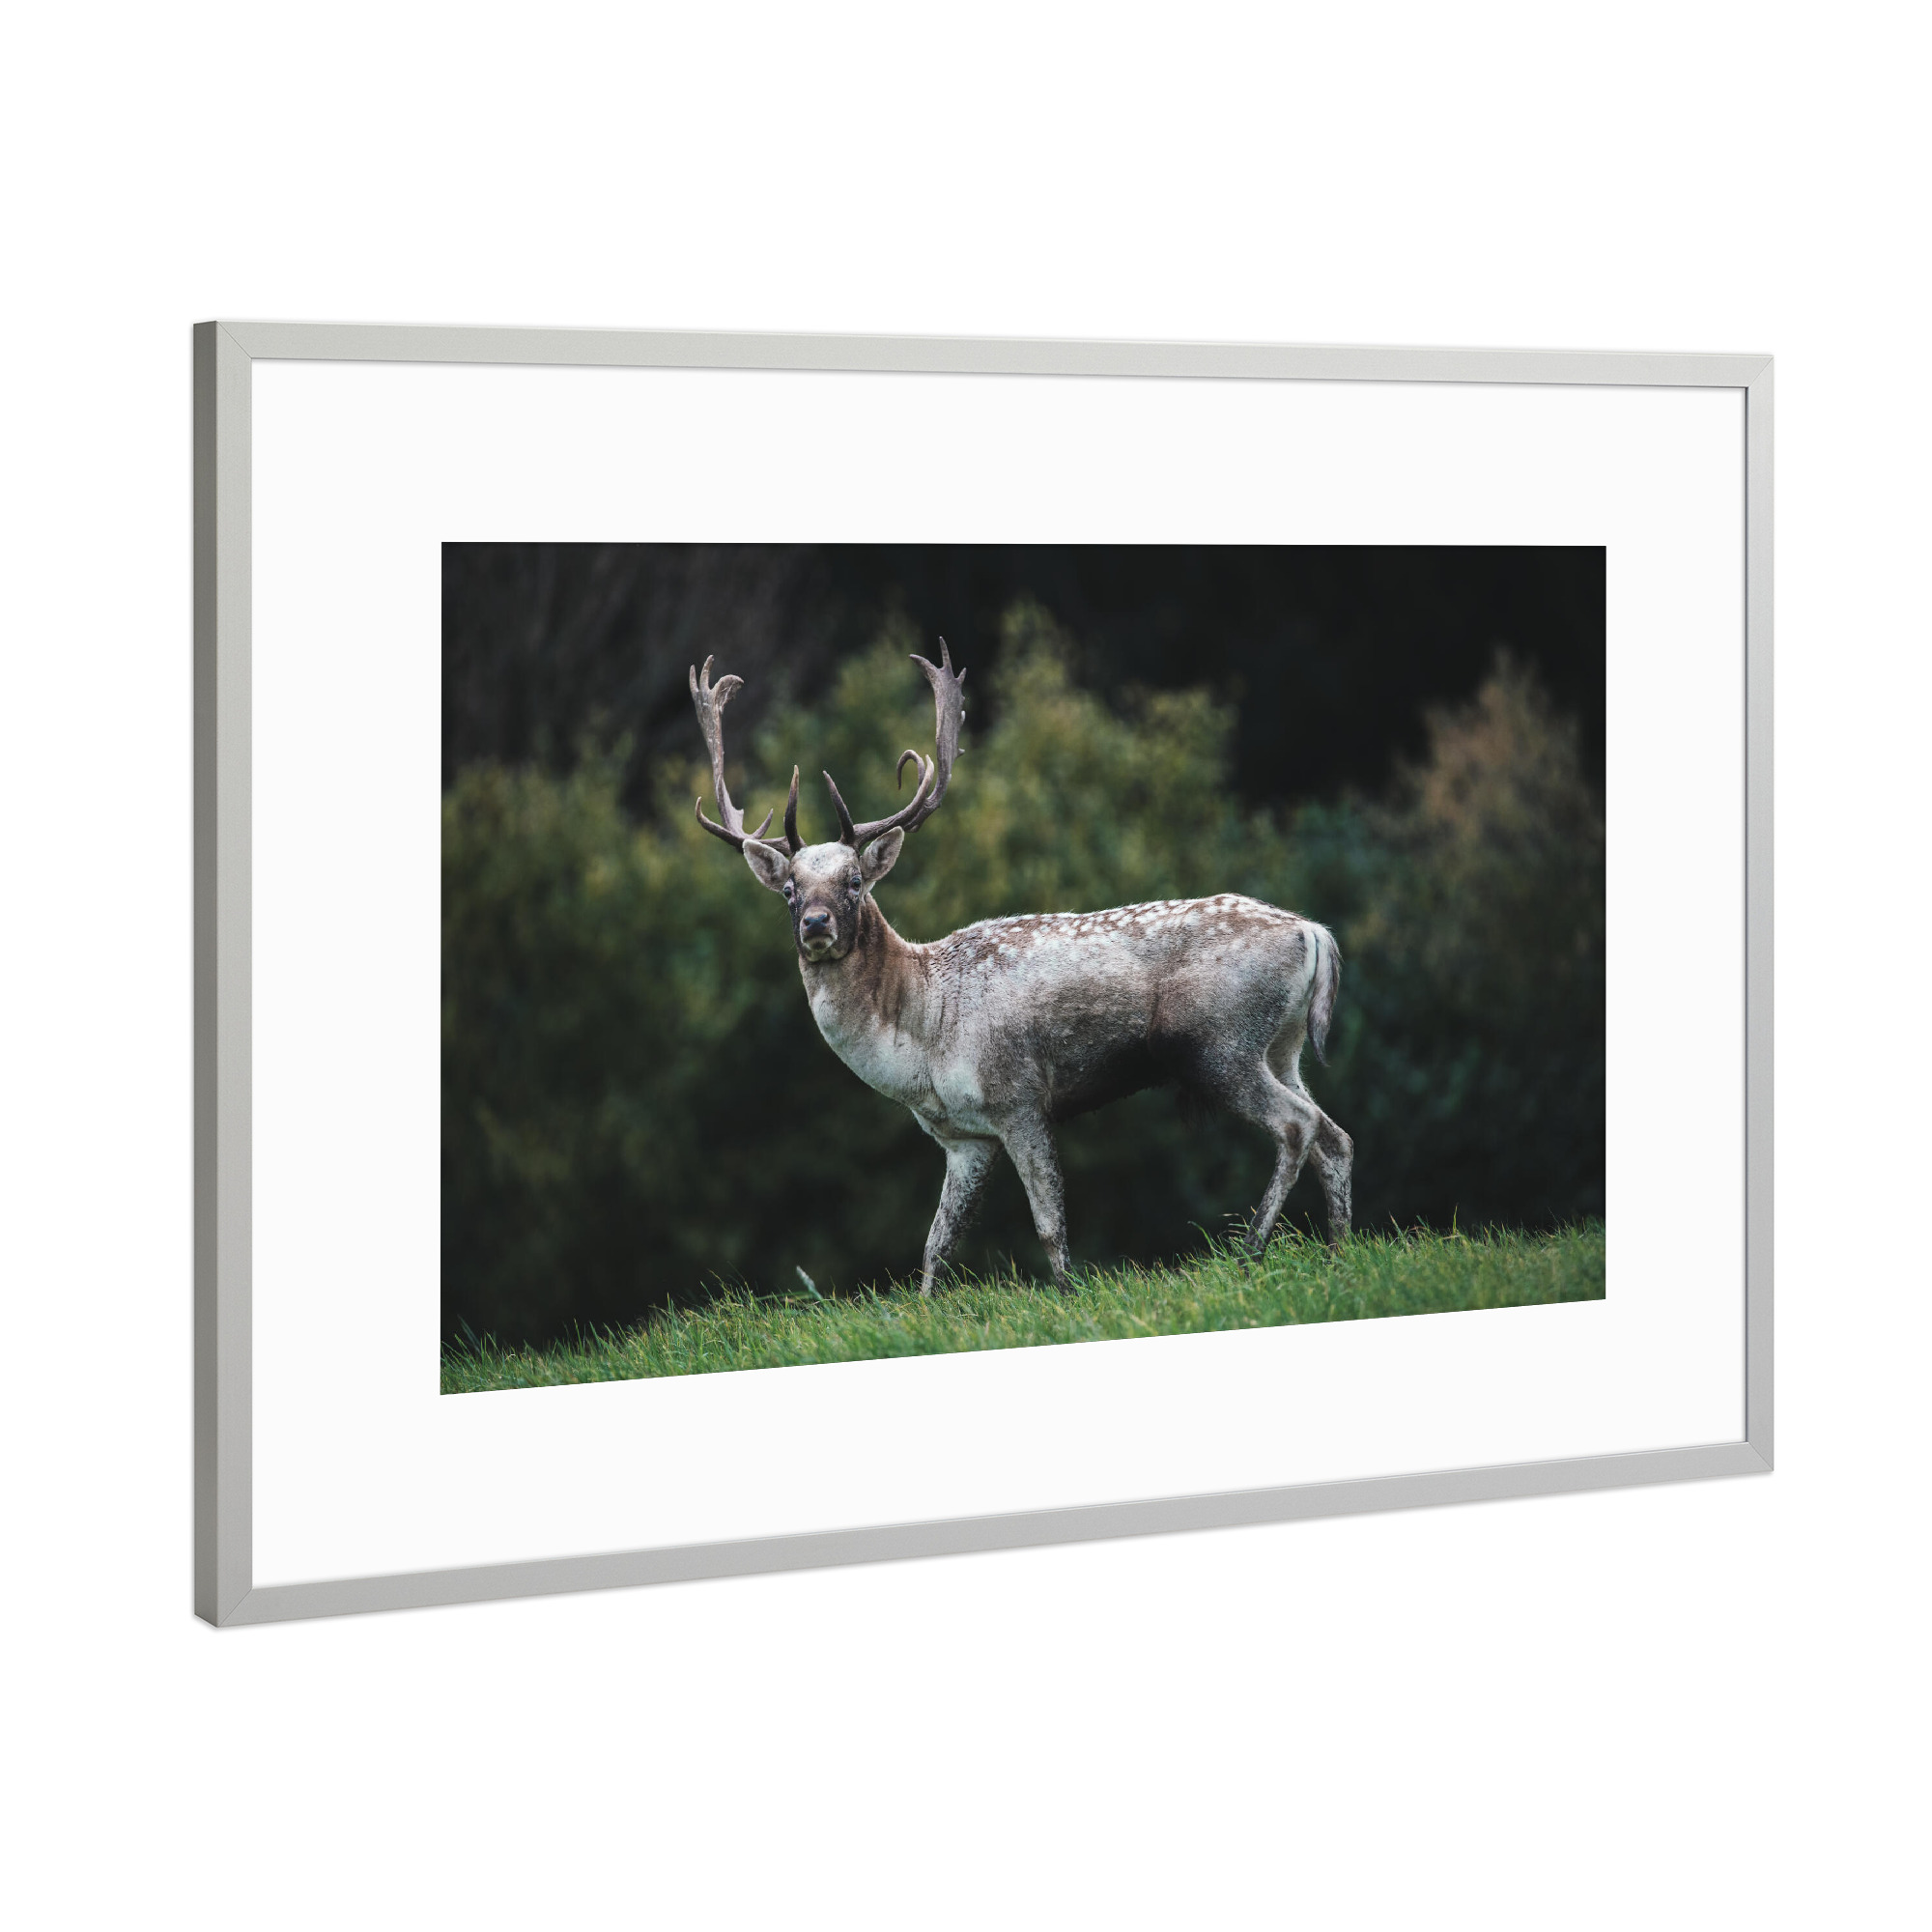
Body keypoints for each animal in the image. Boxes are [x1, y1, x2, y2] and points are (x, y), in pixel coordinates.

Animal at [690, 643, 1353, 1295]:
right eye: (789, 891)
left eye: (854, 882)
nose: (816, 923)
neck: (925, 1033)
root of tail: (1312, 932)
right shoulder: (964, 1138)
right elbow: (935, 1247)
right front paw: (923, 1310)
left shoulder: (1020, 1098)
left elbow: (1050, 1224)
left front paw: (1069, 1294)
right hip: (1280, 1047)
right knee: (1334, 1136)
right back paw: (1339, 1251)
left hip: (1219, 1041)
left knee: (1298, 1126)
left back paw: (1251, 1252)